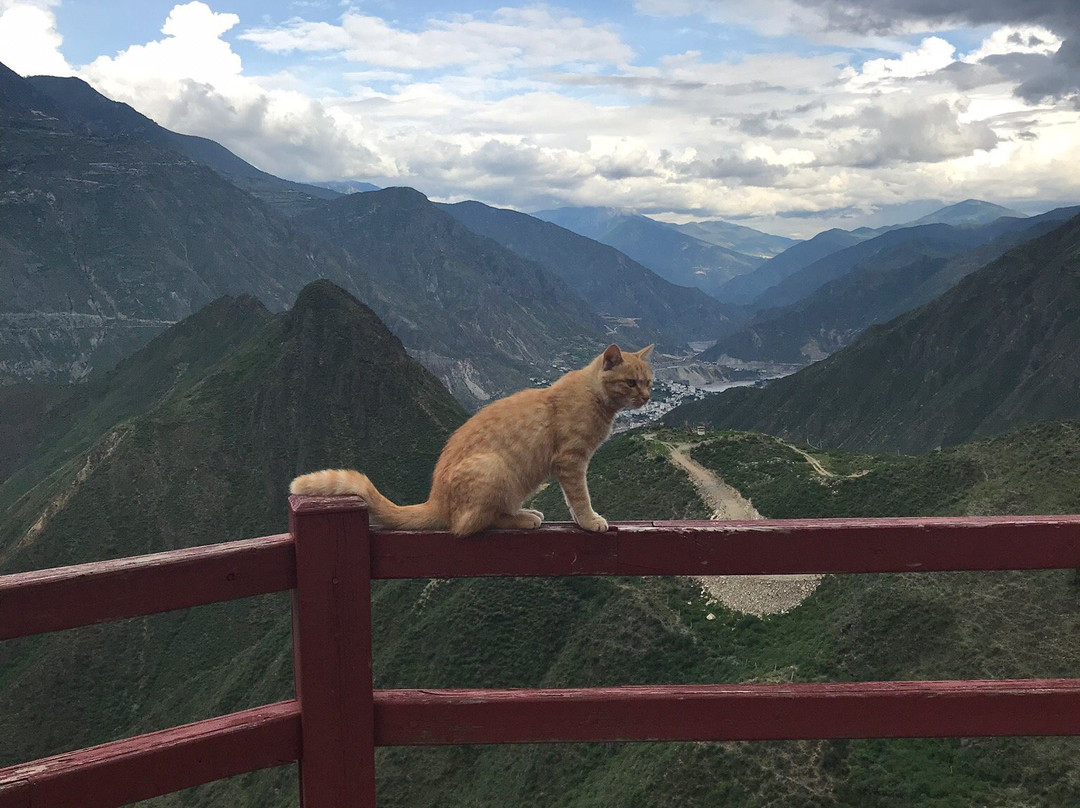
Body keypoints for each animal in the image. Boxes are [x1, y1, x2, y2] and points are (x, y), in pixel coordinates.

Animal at [289, 343, 648, 535]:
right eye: (631, 383)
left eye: (648, 381)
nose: (645, 396)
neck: (595, 397)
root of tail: (436, 499)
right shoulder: (571, 461)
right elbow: (579, 497)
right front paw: (589, 521)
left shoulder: (571, 464)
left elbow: (573, 499)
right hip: (493, 468)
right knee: (470, 524)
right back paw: (522, 518)